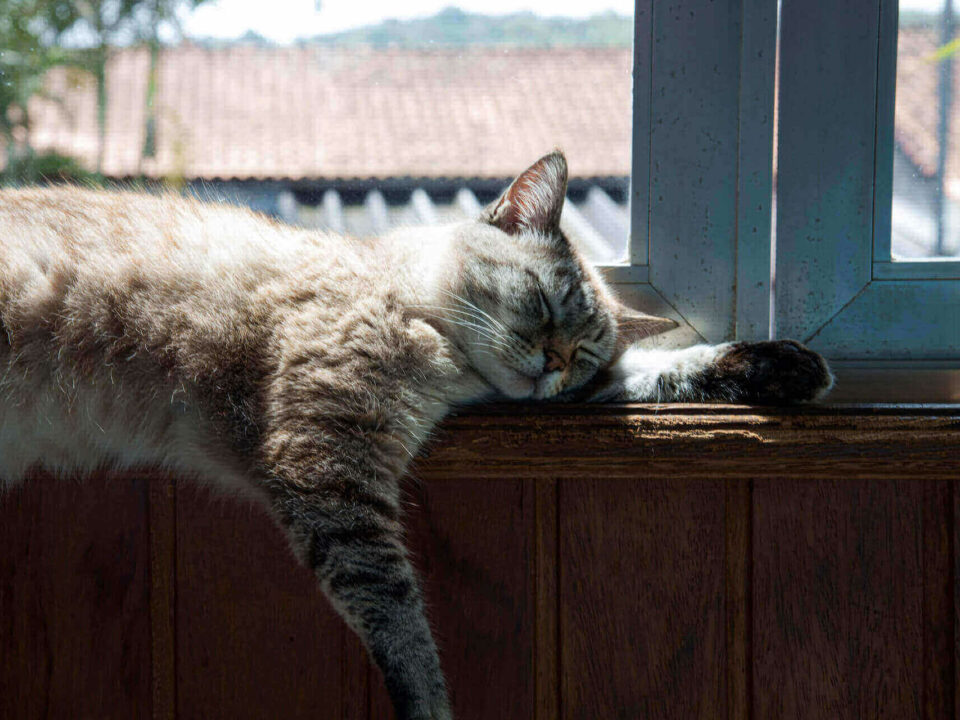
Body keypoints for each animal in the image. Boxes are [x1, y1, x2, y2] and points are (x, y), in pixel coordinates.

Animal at [0, 149, 832, 716]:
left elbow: (664, 368)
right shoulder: (328, 460)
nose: (554, 366)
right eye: (543, 305)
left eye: (584, 352)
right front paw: (432, 706)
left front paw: (783, 368)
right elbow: (401, 620)